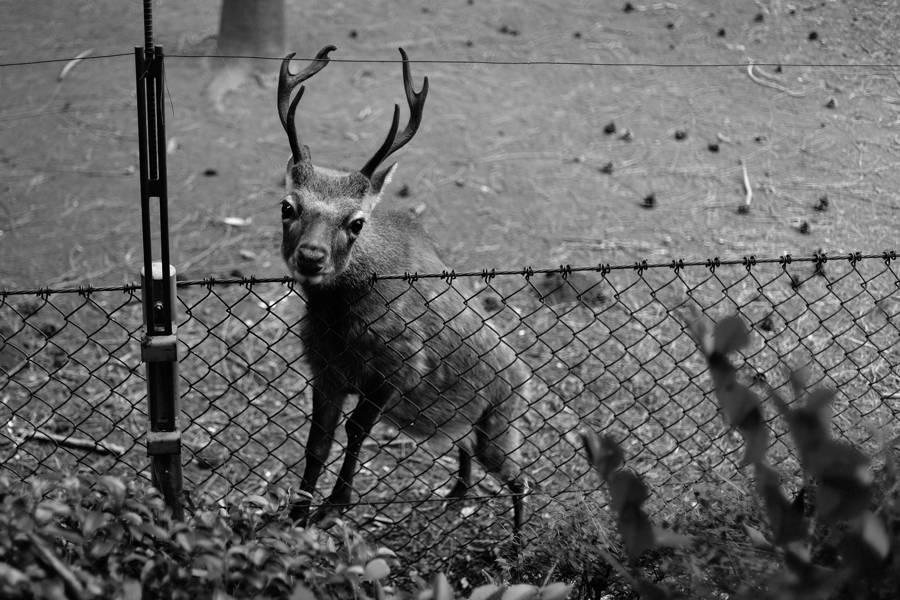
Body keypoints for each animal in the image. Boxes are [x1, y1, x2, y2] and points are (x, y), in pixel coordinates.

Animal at [272, 48, 528, 536]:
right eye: (287, 206)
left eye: (356, 222)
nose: (311, 257)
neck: (342, 326)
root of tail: (524, 378)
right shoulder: (323, 369)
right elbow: (317, 442)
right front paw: (296, 515)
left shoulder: (401, 364)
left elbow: (356, 431)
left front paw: (334, 507)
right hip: (468, 427)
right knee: (468, 451)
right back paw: (457, 493)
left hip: (499, 423)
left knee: (522, 477)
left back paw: (518, 542)